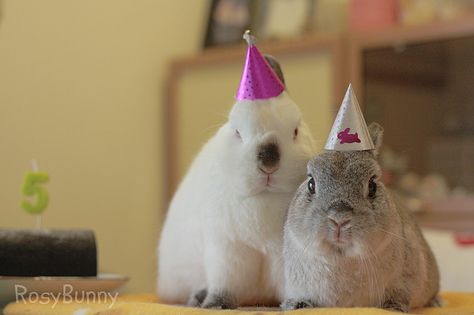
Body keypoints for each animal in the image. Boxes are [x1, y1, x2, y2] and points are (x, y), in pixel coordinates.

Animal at [158, 58, 314, 310]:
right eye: (237, 132)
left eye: (296, 131)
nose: (268, 161)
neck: (263, 197)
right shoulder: (226, 248)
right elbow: (225, 283)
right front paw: (216, 304)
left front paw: (298, 303)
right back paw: (199, 298)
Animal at [282, 122, 440, 312]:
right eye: (311, 184)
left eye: (372, 186)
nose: (339, 219)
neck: (341, 257)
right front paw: (296, 306)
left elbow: (400, 296)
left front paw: (393, 308)